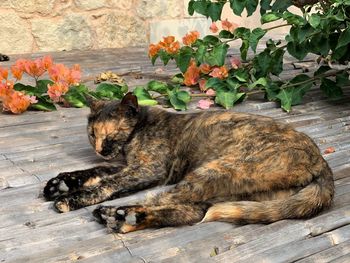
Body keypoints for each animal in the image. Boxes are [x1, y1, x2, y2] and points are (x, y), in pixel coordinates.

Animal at [43, 94, 334, 234]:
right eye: (92, 134)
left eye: (111, 135)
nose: (100, 149)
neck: (138, 130)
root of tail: (320, 162)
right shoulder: (129, 165)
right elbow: (96, 171)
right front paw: (61, 183)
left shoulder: (147, 170)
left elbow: (107, 184)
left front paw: (71, 198)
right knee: (193, 212)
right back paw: (128, 218)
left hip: (213, 171)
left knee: (163, 199)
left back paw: (116, 214)